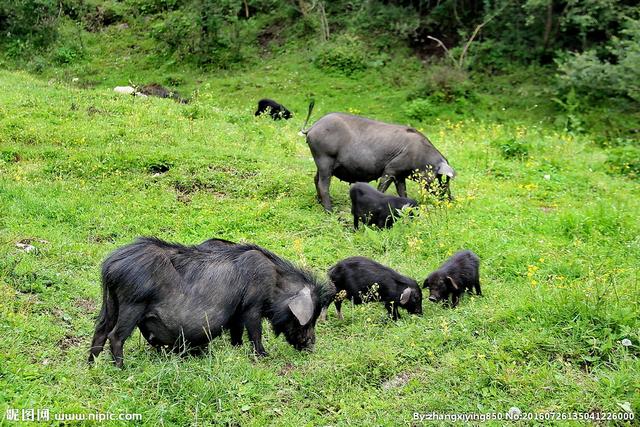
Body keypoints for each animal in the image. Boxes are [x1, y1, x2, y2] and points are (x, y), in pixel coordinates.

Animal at [89, 237, 336, 368]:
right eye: (310, 318)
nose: (311, 345)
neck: (276, 282)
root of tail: (111, 265)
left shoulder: (236, 311)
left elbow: (237, 332)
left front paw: (236, 348)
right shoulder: (252, 305)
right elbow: (255, 332)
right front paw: (264, 356)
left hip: (111, 303)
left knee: (100, 331)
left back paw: (91, 366)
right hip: (132, 303)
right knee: (115, 336)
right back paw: (122, 369)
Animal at [302, 102, 456, 212]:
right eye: (441, 178)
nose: (451, 199)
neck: (421, 157)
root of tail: (312, 128)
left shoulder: (400, 175)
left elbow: (402, 192)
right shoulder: (391, 169)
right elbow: (382, 187)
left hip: (321, 163)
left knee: (315, 179)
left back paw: (320, 202)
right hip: (324, 158)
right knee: (323, 185)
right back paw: (330, 210)